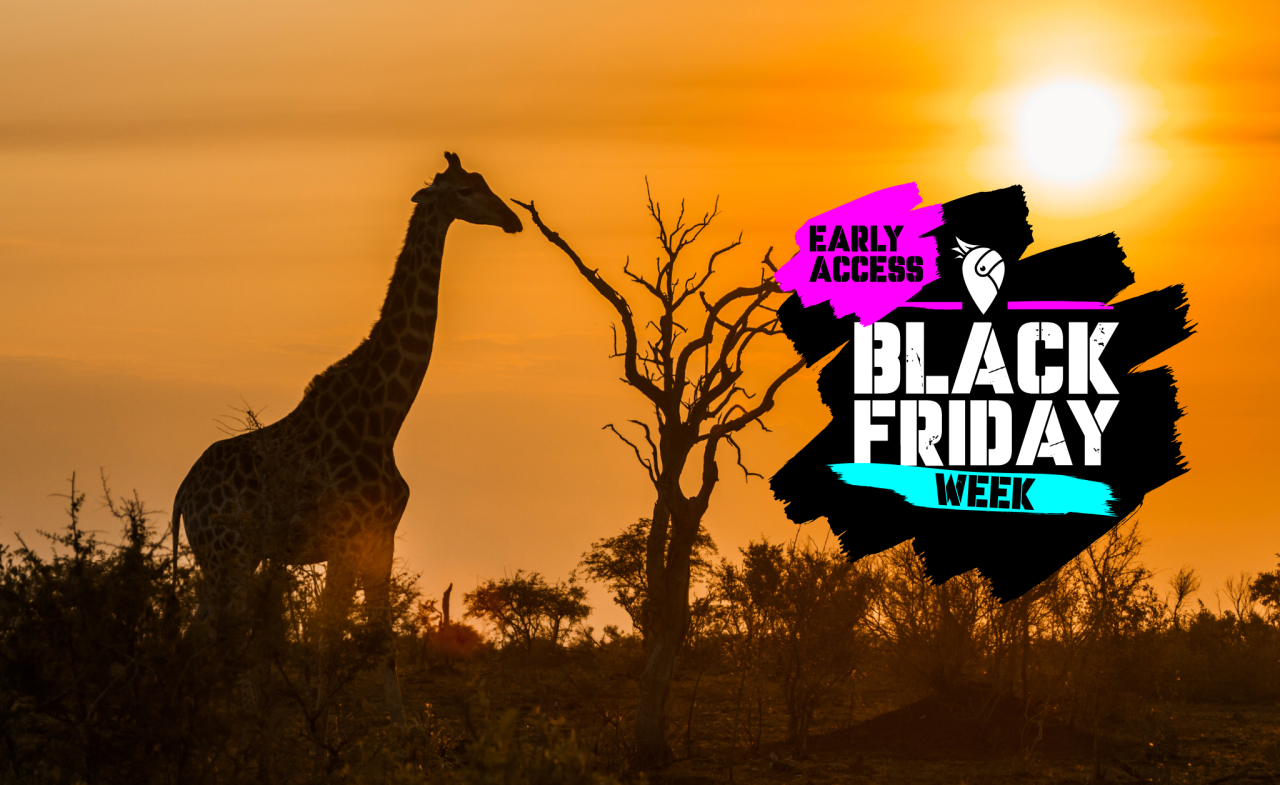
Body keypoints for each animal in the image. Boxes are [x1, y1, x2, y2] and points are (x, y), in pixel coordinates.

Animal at [170, 152, 522, 726]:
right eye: (467, 191)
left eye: (484, 181)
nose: (512, 219)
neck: (384, 416)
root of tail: (182, 492)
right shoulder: (341, 538)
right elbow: (328, 634)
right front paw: (321, 720)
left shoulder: (382, 535)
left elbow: (379, 636)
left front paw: (403, 725)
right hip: (230, 556)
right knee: (222, 635)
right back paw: (244, 717)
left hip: (223, 558)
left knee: (195, 634)